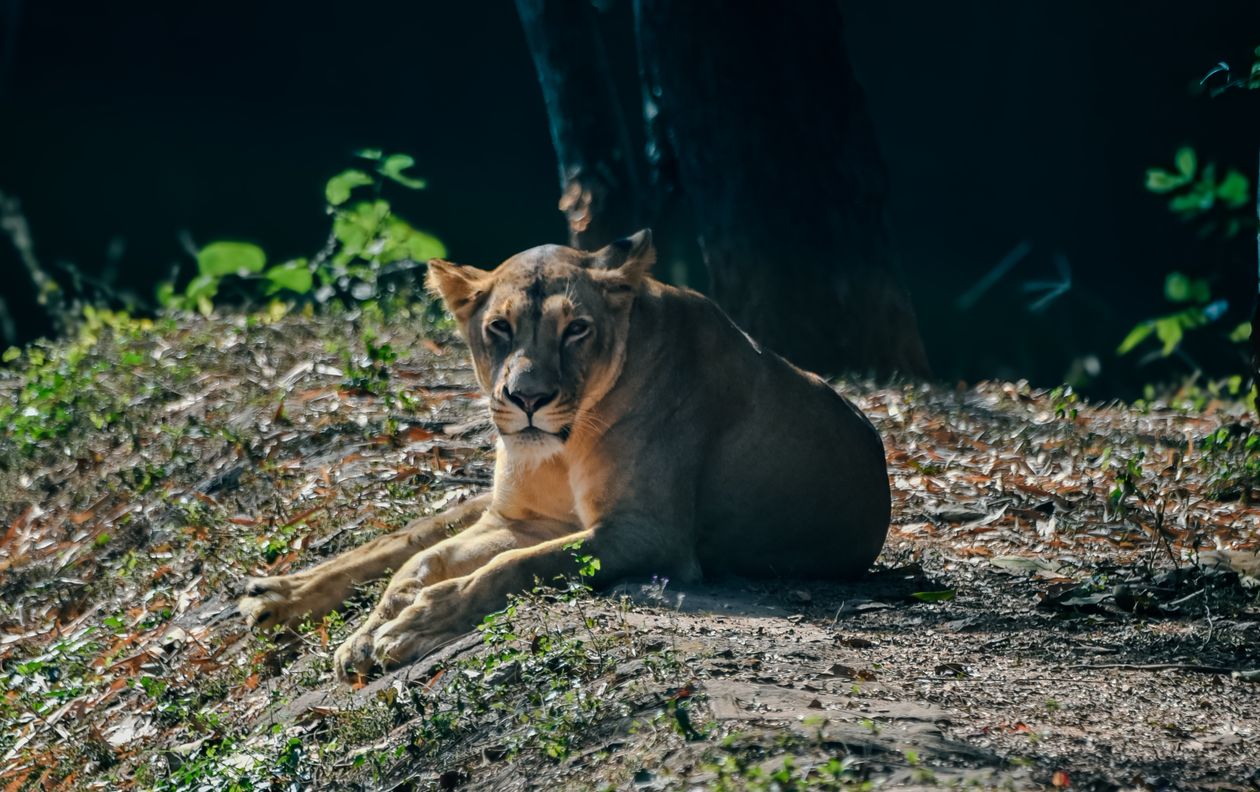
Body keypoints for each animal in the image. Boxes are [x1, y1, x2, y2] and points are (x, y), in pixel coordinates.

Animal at [238, 230, 890, 681]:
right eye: (499, 328)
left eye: (576, 329)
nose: (526, 399)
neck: (562, 446)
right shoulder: (523, 518)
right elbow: (424, 562)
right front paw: (368, 633)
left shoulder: (647, 534)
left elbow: (514, 567)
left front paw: (416, 624)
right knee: (402, 539)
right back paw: (275, 597)